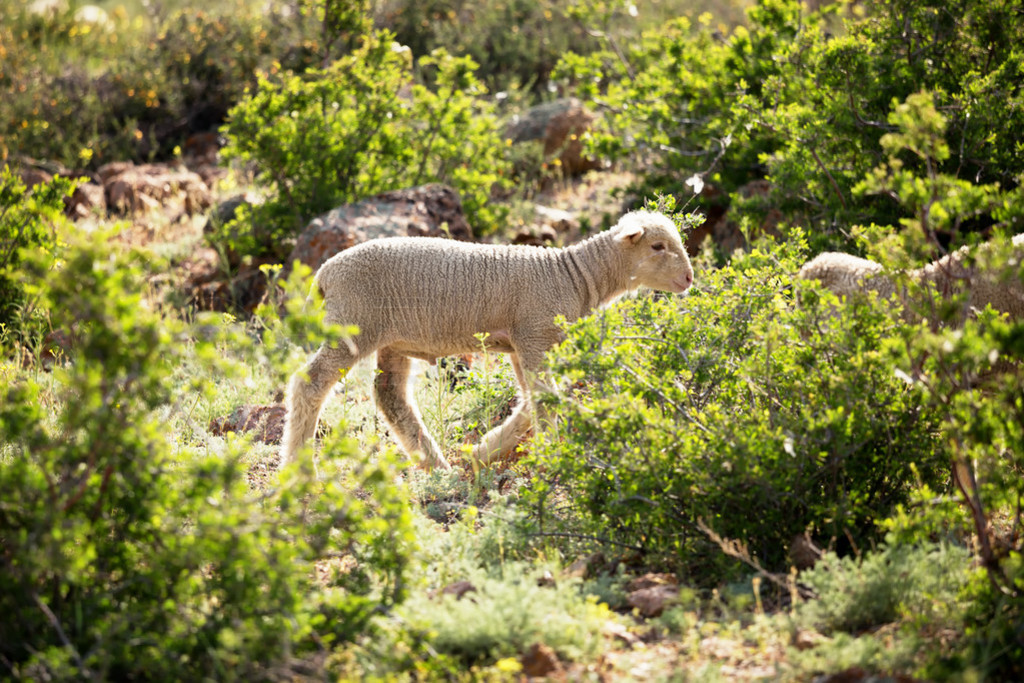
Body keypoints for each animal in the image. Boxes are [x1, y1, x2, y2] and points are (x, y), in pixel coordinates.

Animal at [280, 210, 696, 473]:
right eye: (658, 247)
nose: (690, 278)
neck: (575, 277)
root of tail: (324, 274)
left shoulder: (522, 343)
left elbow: (529, 403)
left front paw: (481, 452)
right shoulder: (535, 335)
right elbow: (543, 401)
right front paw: (554, 455)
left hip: (392, 341)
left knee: (390, 397)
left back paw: (437, 464)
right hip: (352, 327)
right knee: (310, 383)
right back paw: (300, 469)